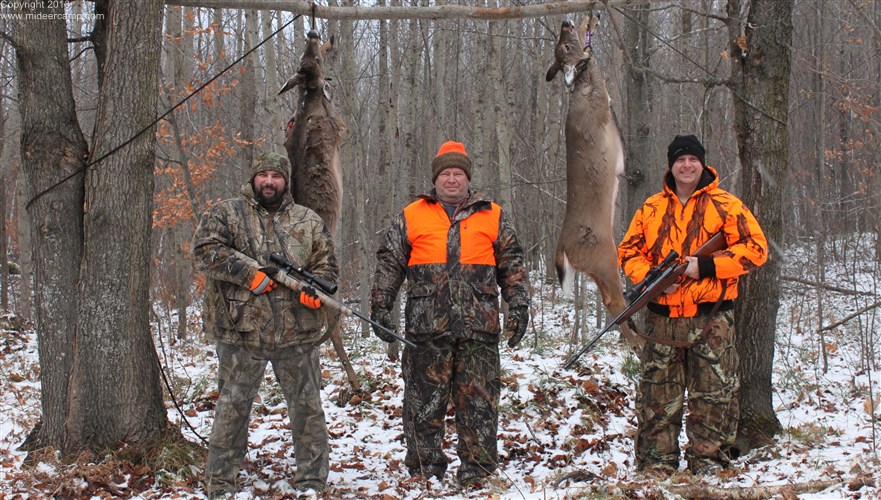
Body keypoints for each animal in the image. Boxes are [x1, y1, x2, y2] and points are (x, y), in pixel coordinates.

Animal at [548, 18, 644, 356]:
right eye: (564, 47)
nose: (564, 21)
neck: (581, 87)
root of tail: (562, 246)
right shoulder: (603, 97)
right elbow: (596, 64)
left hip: (596, 268)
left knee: (609, 301)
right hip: (605, 257)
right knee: (615, 300)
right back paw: (639, 345)